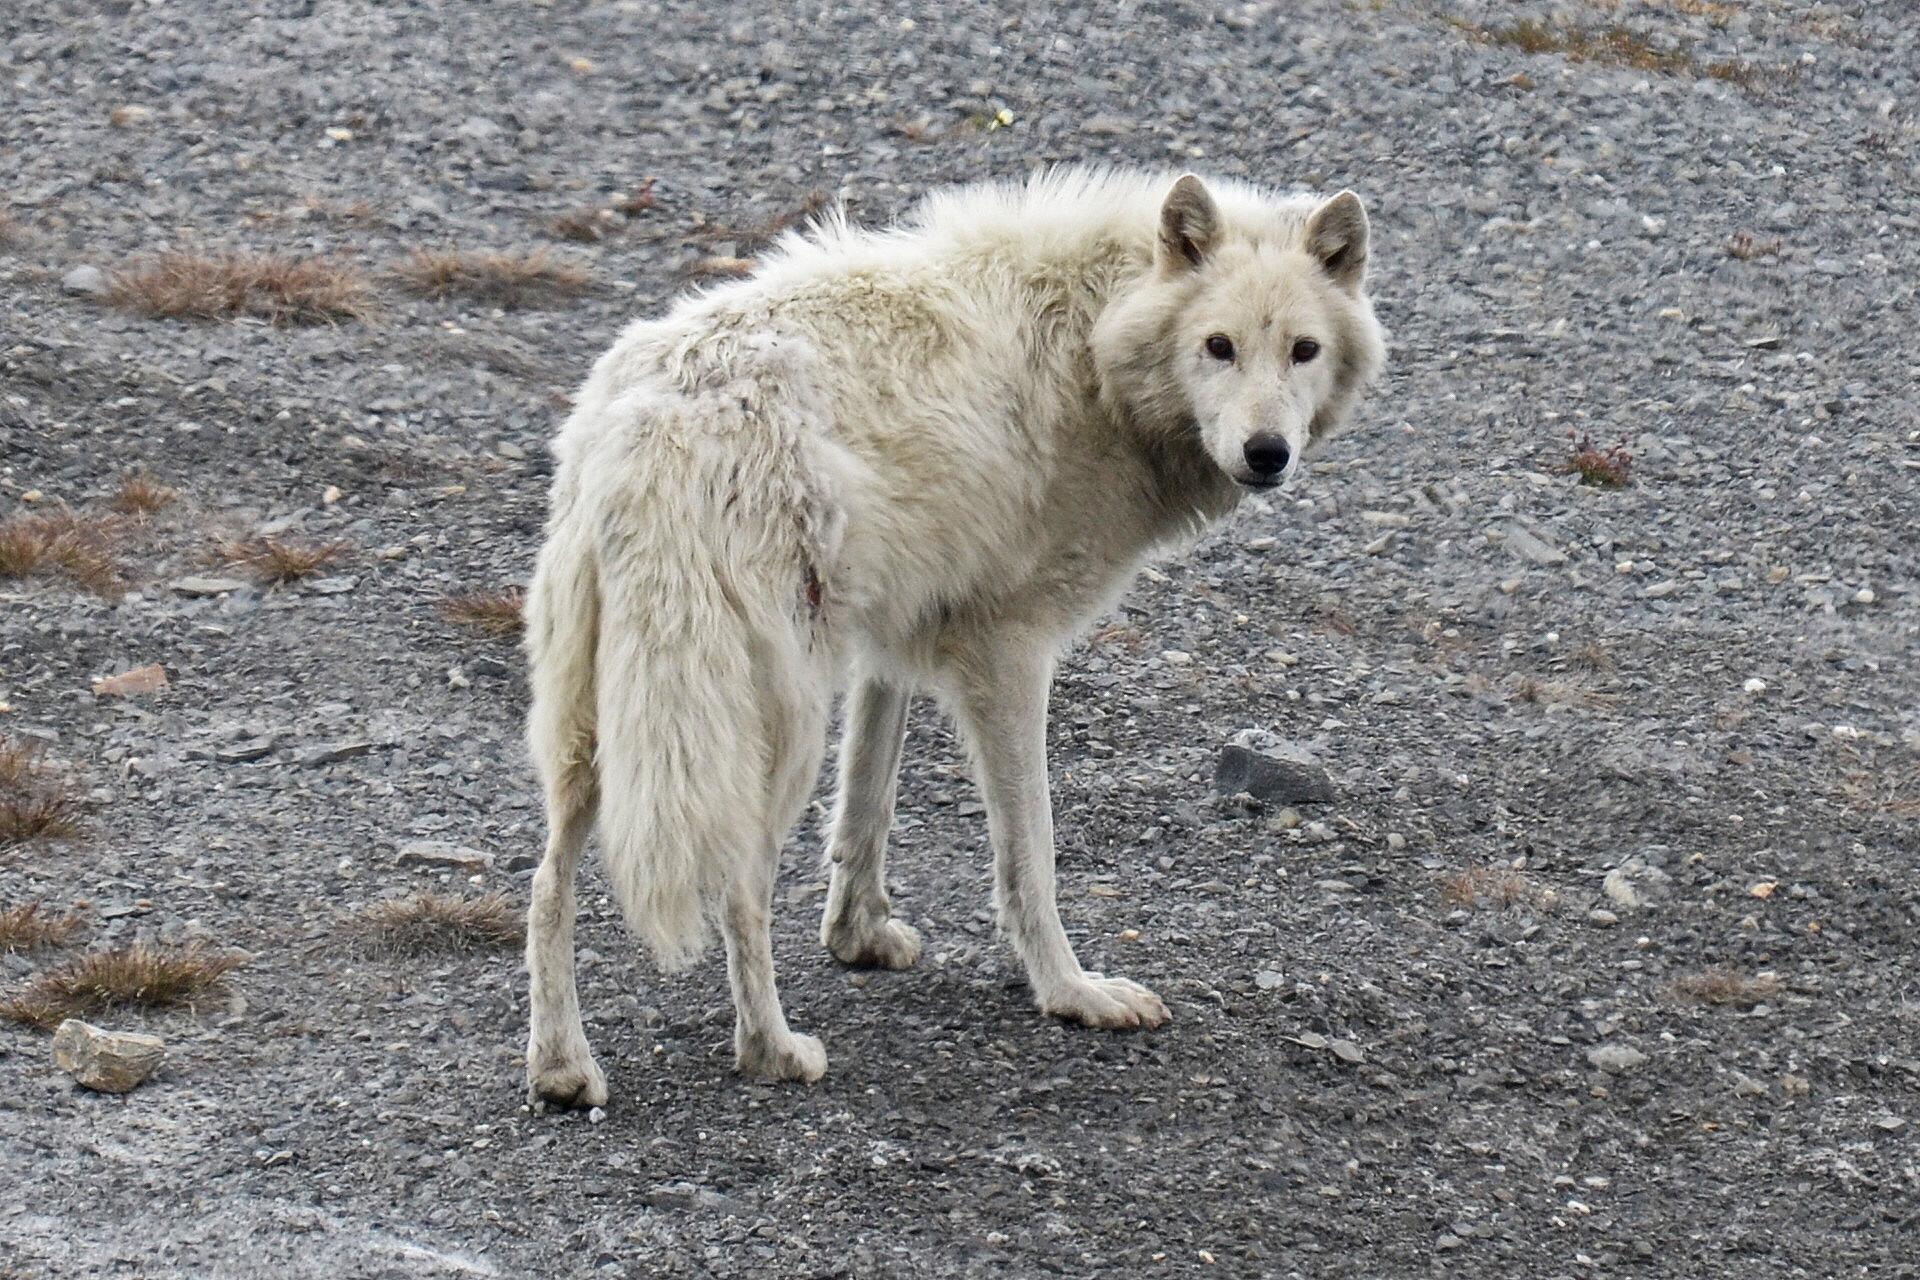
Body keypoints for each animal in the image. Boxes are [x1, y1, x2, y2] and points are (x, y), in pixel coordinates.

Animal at [521, 168, 1385, 1106]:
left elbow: (867, 804)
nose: (1266, 453)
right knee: (738, 888)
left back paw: (563, 1068)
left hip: (598, 726)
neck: (1094, 347)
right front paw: (1071, 992)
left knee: (546, 882)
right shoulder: (1010, 653)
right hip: (768, 724)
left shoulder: (893, 638)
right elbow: (1029, 853)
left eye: (1303, 350)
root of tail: (651, 427)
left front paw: (859, 937)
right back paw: (774, 1051)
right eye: (1218, 346)